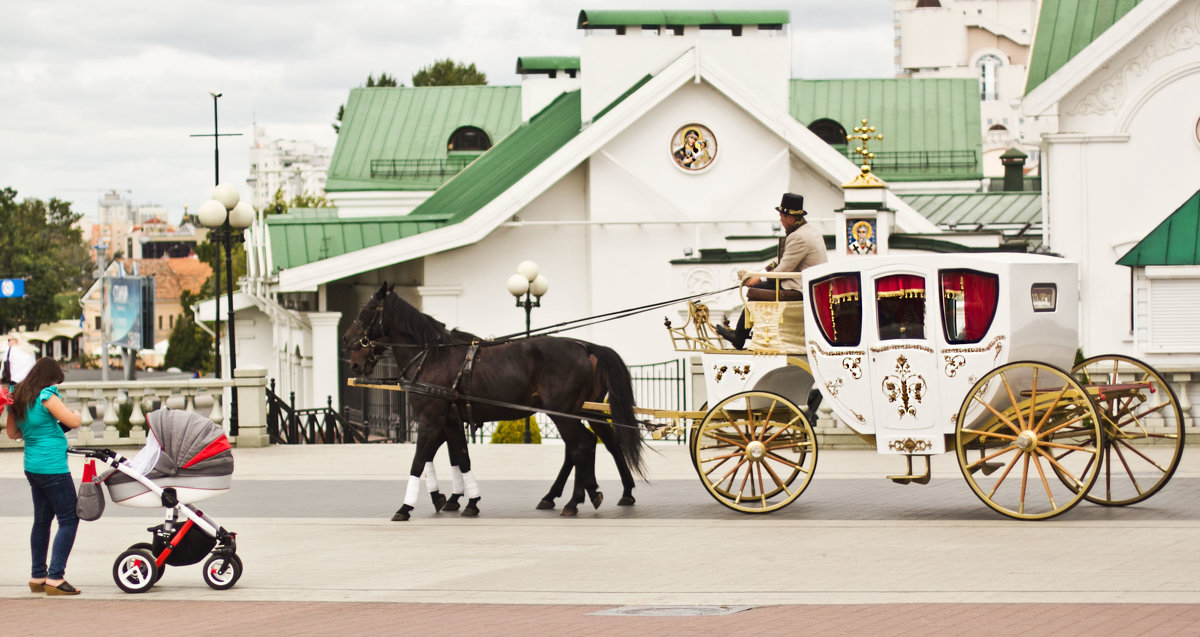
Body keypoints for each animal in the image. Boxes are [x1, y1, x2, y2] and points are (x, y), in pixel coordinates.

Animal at [345, 283, 648, 518]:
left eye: (365, 311)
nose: (350, 349)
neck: (431, 357)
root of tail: (585, 347)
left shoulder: (431, 420)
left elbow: (420, 460)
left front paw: (407, 507)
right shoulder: (450, 422)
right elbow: (460, 458)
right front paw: (465, 500)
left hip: (563, 413)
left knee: (582, 446)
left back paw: (576, 500)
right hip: (578, 412)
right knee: (588, 445)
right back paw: (583, 494)